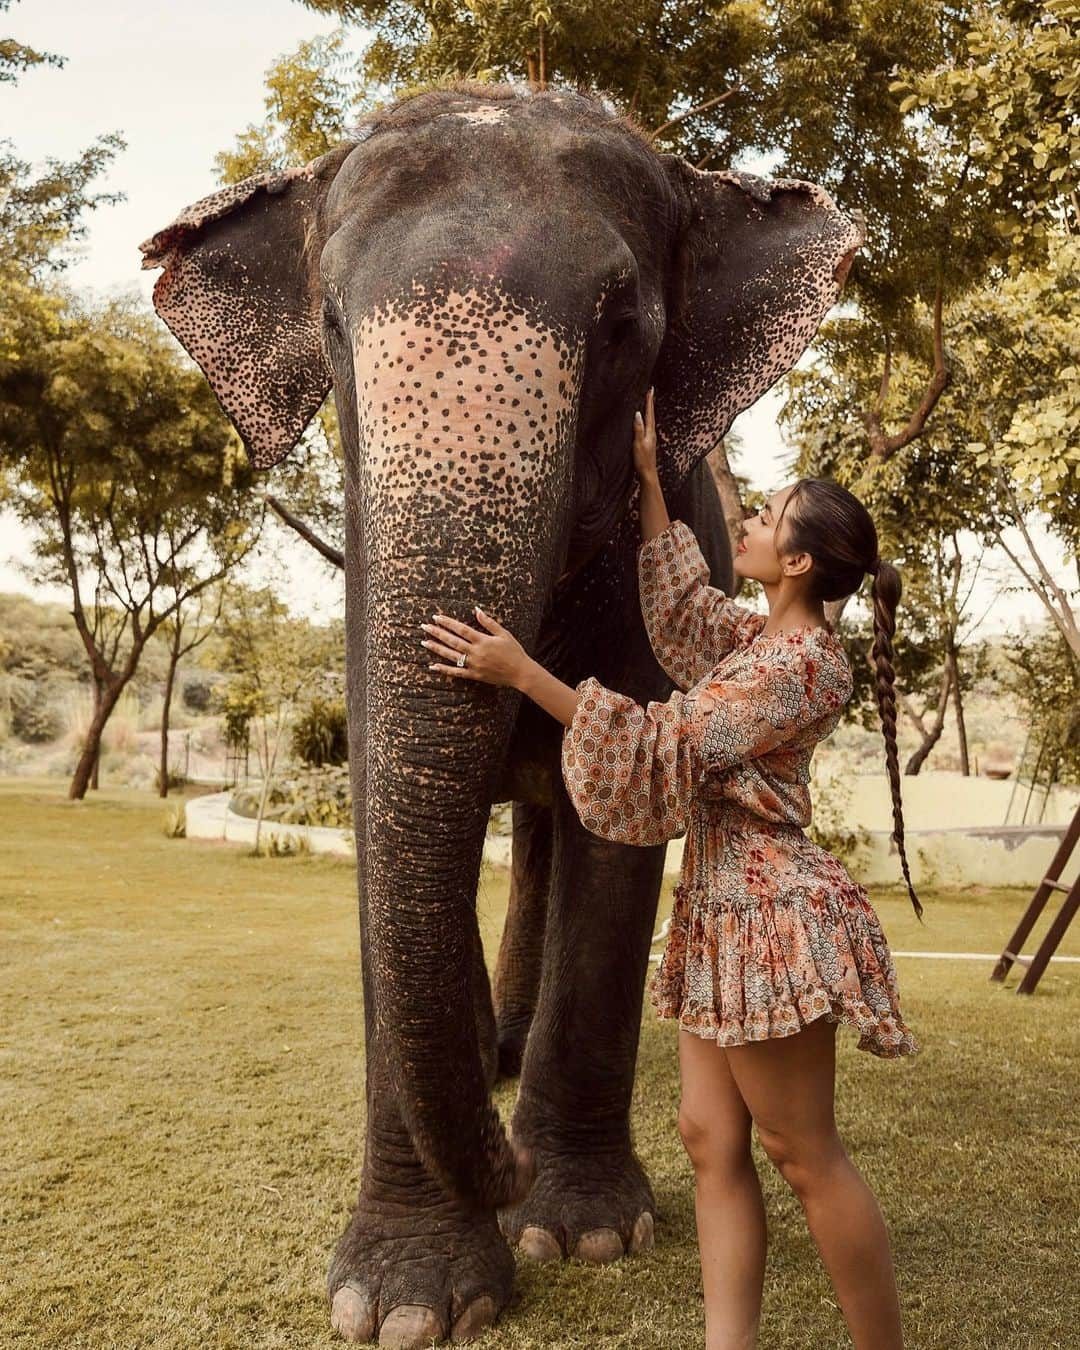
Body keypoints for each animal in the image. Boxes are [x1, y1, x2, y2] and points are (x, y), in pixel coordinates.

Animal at [141, 78, 858, 1344]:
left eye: (622, 325)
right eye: (331, 323)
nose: (506, 1167)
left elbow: (623, 813)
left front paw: (581, 1234)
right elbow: (391, 807)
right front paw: (403, 1303)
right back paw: (492, 1055)